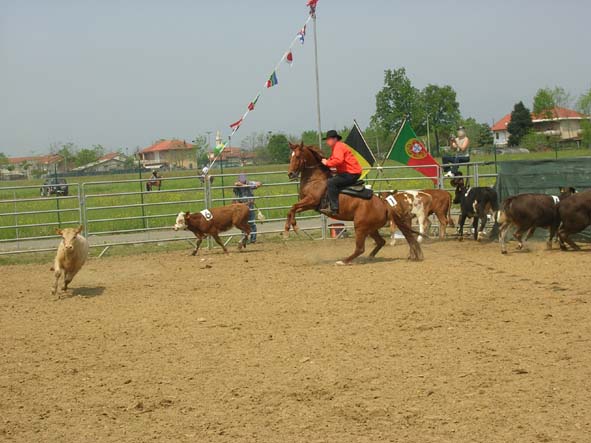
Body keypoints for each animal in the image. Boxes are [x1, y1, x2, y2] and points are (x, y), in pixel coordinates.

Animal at [286, 142, 420, 266]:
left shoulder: (312, 201)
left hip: (360, 226)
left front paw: (294, 227)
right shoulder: (308, 204)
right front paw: (288, 229)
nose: (290, 174)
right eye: (290, 156)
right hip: (371, 228)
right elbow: (291, 210)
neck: (316, 179)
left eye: (297, 156)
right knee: (380, 242)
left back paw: (343, 261)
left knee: (360, 248)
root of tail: (384, 204)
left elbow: (293, 207)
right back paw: (370, 257)